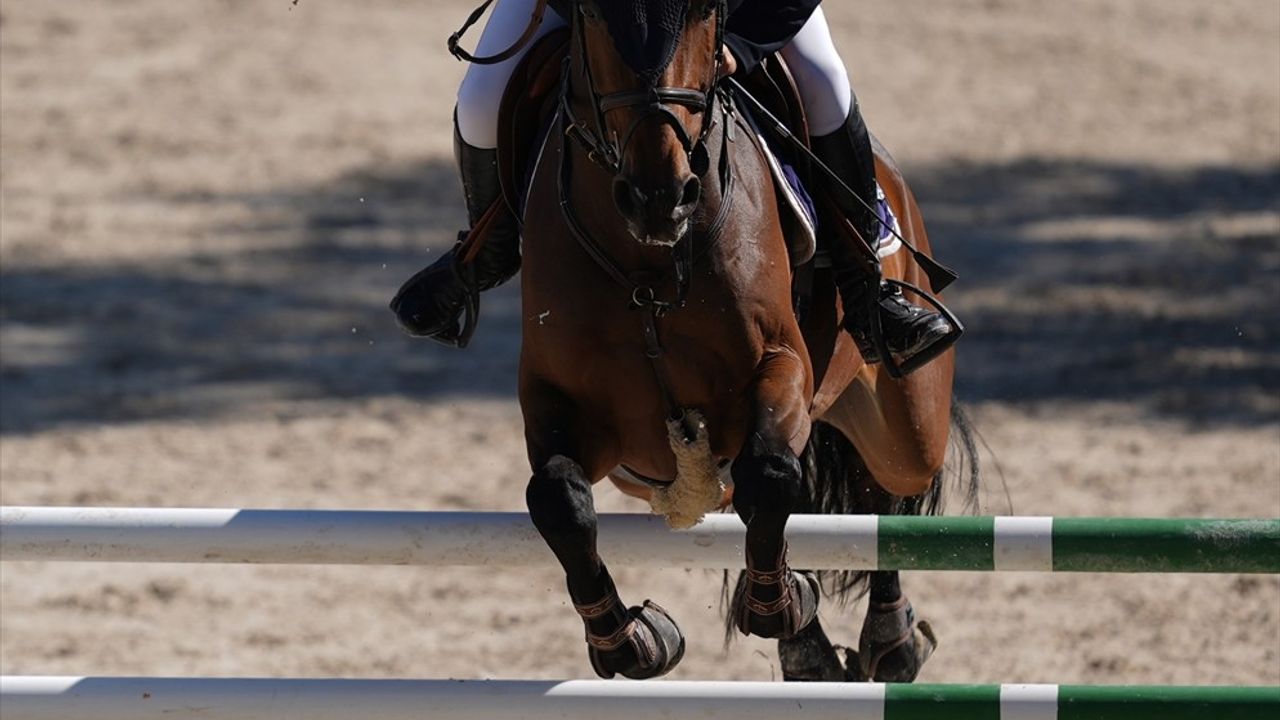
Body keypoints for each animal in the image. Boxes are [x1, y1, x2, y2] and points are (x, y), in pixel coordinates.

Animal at [496, 0, 967, 676]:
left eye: (706, 14)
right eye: (593, 16)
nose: (660, 198)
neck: (649, 270)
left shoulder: (780, 363)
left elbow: (770, 472)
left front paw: (781, 603)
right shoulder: (562, 404)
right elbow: (559, 498)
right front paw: (631, 639)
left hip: (908, 426)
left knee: (883, 494)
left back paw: (890, 639)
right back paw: (813, 653)